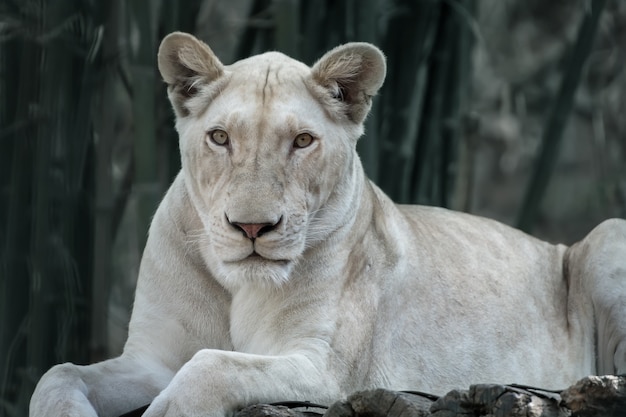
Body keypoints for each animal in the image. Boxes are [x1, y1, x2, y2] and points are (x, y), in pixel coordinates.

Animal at [28, 32, 624, 416]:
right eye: (220, 137)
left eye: (302, 141)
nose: (251, 228)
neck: (235, 285)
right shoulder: (151, 359)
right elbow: (58, 374)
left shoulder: (325, 369)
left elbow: (211, 366)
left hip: (607, 234)